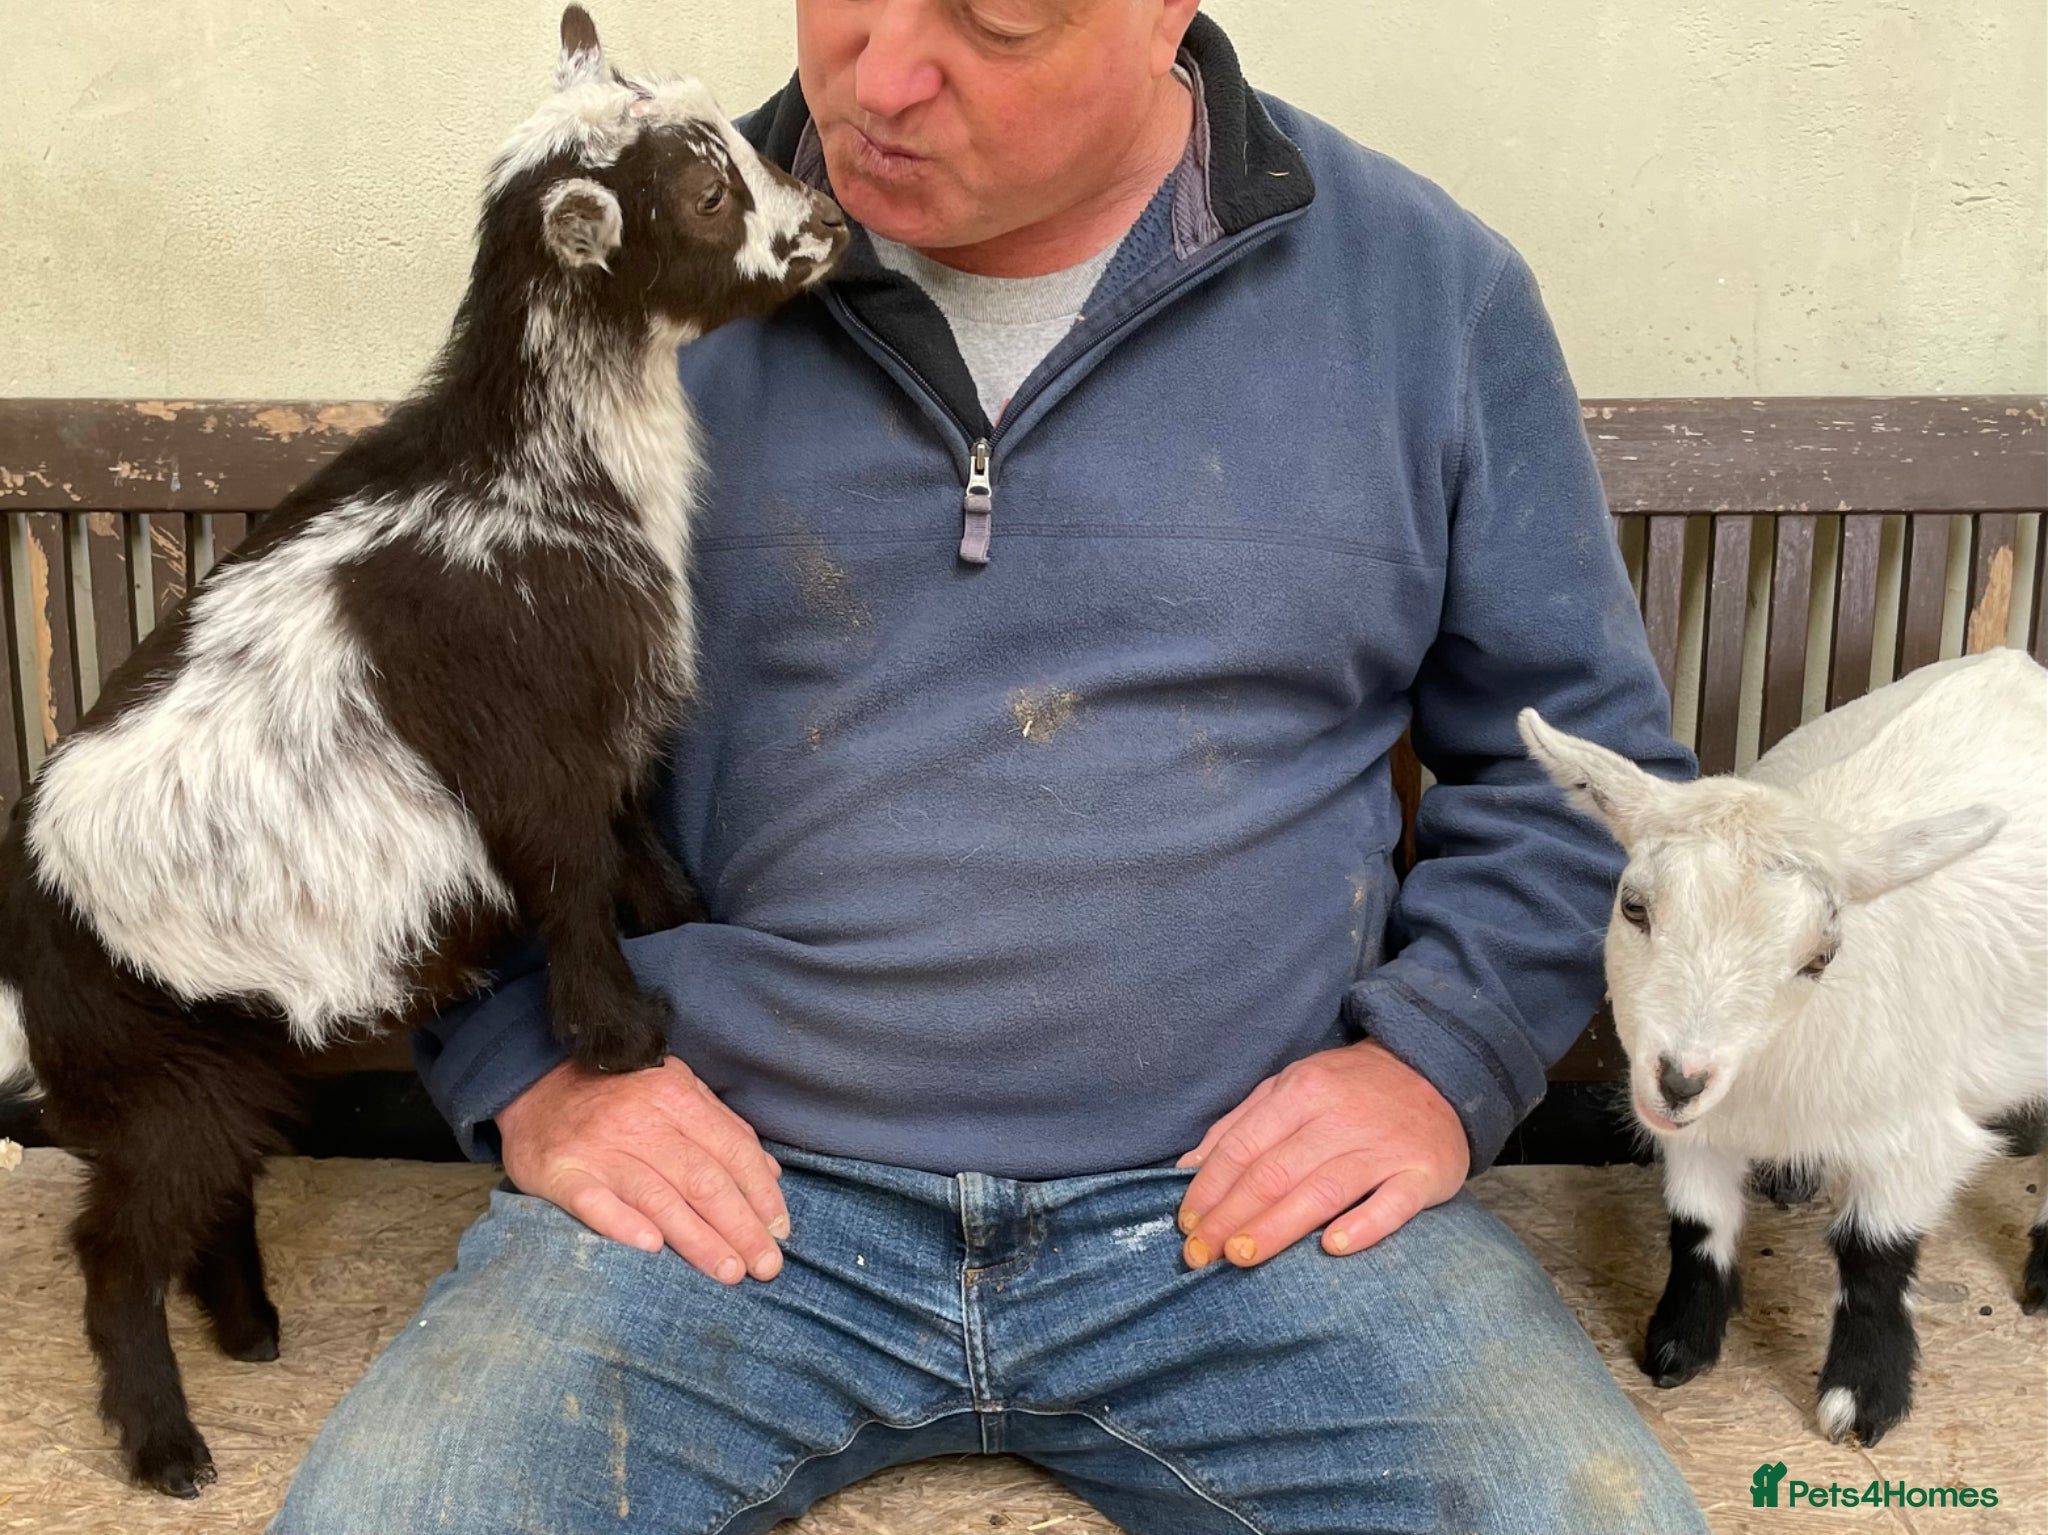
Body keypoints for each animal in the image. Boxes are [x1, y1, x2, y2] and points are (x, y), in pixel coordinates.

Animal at [0, 8, 847, 1496]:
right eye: (705, 194)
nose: (832, 225)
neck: (528, 474)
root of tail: (22, 909)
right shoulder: (528, 735)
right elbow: (567, 872)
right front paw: (622, 1038)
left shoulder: (604, 715)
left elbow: (632, 843)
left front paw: (686, 918)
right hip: (144, 1061)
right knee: (112, 1242)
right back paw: (168, 1442)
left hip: (223, 1038)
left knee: (218, 1174)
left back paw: (252, 1323)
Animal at [1519, 647, 2047, 1446]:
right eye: (1634, 906)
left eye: (1821, 957)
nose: (1678, 1081)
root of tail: (2014, 660)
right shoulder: (1697, 1126)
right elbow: (1698, 1221)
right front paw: (1680, 1344)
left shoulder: (1920, 1134)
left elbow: (1873, 1253)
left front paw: (1862, 1397)